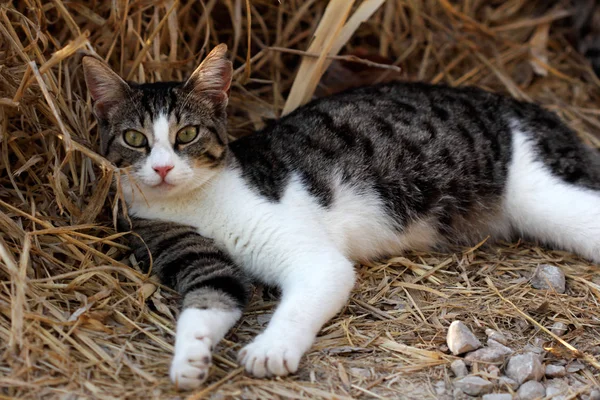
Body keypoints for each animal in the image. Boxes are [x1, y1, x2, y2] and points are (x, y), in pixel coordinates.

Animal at [81, 44, 600, 390]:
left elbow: (304, 297)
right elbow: (211, 298)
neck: (194, 201)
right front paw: (190, 361)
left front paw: (270, 349)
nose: (163, 168)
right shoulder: (186, 253)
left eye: (186, 134)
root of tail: (517, 103)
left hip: (540, 193)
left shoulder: (315, 259)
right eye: (134, 140)